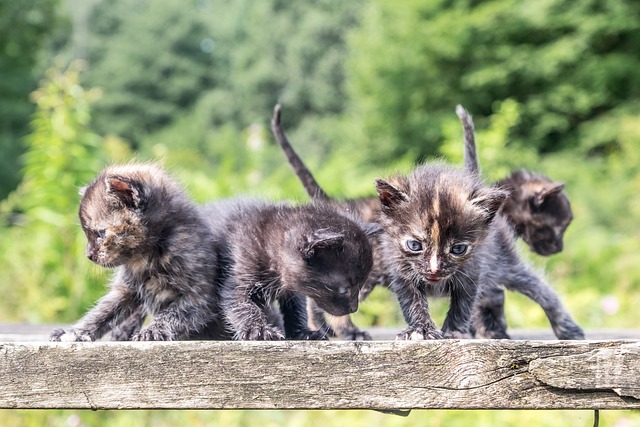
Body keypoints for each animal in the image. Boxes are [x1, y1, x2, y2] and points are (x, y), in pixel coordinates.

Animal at [50, 164, 230, 344]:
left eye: (101, 233)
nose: (89, 255)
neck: (145, 258)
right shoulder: (125, 291)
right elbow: (101, 313)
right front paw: (74, 332)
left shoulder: (198, 297)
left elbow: (172, 314)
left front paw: (152, 331)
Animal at [204, 199, 380, 342]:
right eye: (344, 289)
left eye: (361, 285)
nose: (354, 308)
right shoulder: (238, 273)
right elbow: (241, 305)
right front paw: (259, 330)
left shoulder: (293, 289)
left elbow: (297, 308)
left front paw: (303, 332)